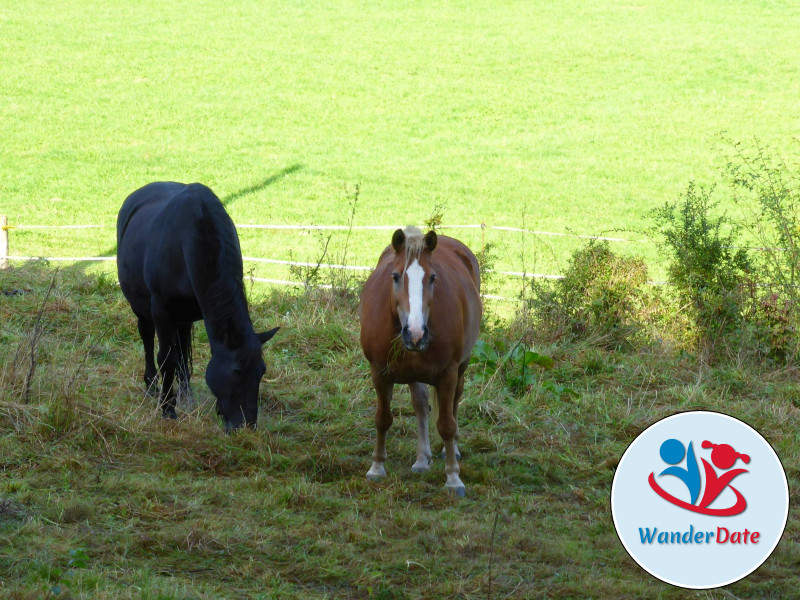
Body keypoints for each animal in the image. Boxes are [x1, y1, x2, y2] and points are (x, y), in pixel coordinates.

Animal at [115, 180, 278, 428]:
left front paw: (183, 397)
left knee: (181, 347)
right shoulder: (161, 309)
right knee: (147, 336)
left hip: (183, 314)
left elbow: (182, 354)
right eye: (237, 371)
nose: (246, 425)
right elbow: (166, 358)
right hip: (143, 308)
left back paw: (185, 393)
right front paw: (168, 409)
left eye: (262, 371)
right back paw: (151, 385)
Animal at [360, 227, 482, 494]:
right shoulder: (379, 373)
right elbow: (383, 419)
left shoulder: (447, 375)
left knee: (453, 404)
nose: (416, 335)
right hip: (414, 375)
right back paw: (422, 459)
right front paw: (377, 467)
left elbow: (446, 425)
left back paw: (449, 451)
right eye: (395, 276)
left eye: (433, 278)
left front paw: (453, 478)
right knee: (421, 405)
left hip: (461, 368)